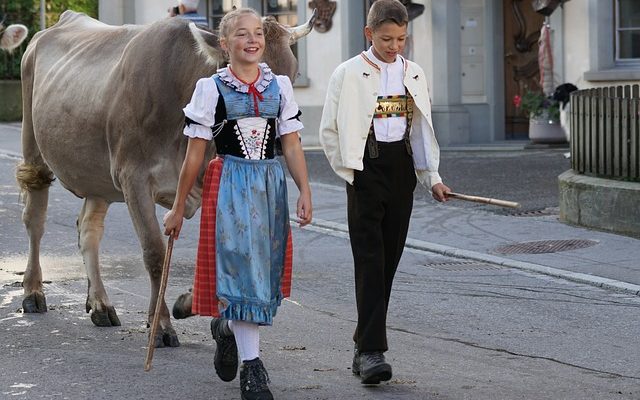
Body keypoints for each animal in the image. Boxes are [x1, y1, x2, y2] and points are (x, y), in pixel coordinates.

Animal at [15, 9, 312, 346]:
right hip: (34, 146)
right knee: (35, 219)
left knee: (88, 228)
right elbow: (155, 253)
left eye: (293, 74)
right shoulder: (134, 178)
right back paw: (33, 292)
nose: (279, 141)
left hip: (98, 174)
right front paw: (161, 325)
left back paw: (101, 304)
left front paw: (186, 304)